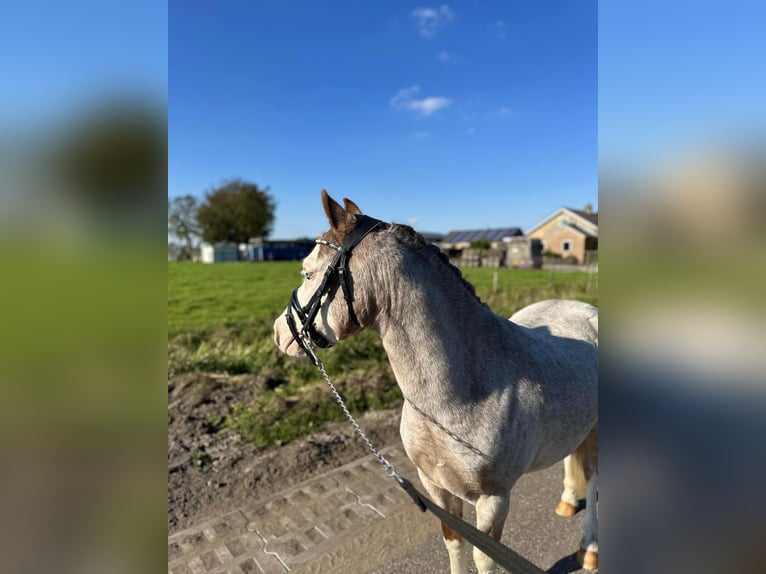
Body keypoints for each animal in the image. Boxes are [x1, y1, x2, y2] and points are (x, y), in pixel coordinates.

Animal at [274, 191, 600, 572]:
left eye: (307, 272)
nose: (279, 332)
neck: (459, 397)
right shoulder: (436, 488)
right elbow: (453, 542)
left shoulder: (494, 500)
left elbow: (485, 558)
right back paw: (567, 501)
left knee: (593, 479)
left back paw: (589, 549)